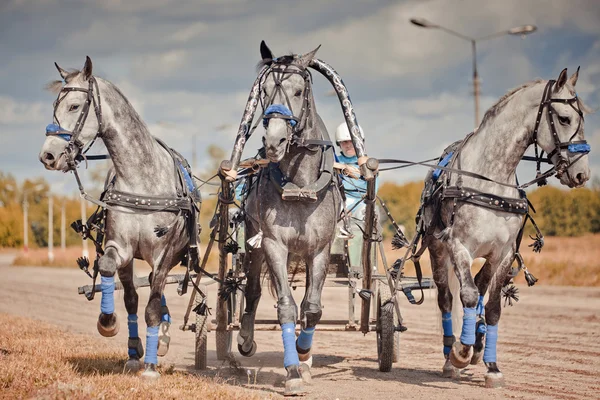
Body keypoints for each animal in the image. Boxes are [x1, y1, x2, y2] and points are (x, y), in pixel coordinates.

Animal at [38, 56, 198, 378]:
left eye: (74, 106)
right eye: (54, 106)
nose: (47, 156)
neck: (141, 179)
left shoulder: (164, 253)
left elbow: (153, 305)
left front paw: (151, 365)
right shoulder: (120, 246)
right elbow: (112, 273)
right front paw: (109, 323)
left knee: (155, 291)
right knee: (134, 295)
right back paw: (138, 348)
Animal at [225, 42, 340, 396]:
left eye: (299, 91)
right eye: (263, 92)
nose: (274, 142)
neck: (300, 186)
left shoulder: (320, 249)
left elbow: (312, 308)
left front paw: (304, 354)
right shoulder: (274, 244)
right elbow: (286, 305)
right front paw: (291, 371)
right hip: (254, 244)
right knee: (251, 292)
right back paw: (246, 339)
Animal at [422, 68, 592, 388]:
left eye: (583, 119)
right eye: (564, 119)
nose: (582, 174)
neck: (490, 181)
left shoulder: (504, 253)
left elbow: (491, 307)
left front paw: (491, 364)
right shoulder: (458, 245)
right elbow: (467, 296)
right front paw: (461, 352)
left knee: (479, 285)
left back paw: (476, 341)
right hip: (438, 251)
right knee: (447, 298)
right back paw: (452, 355)